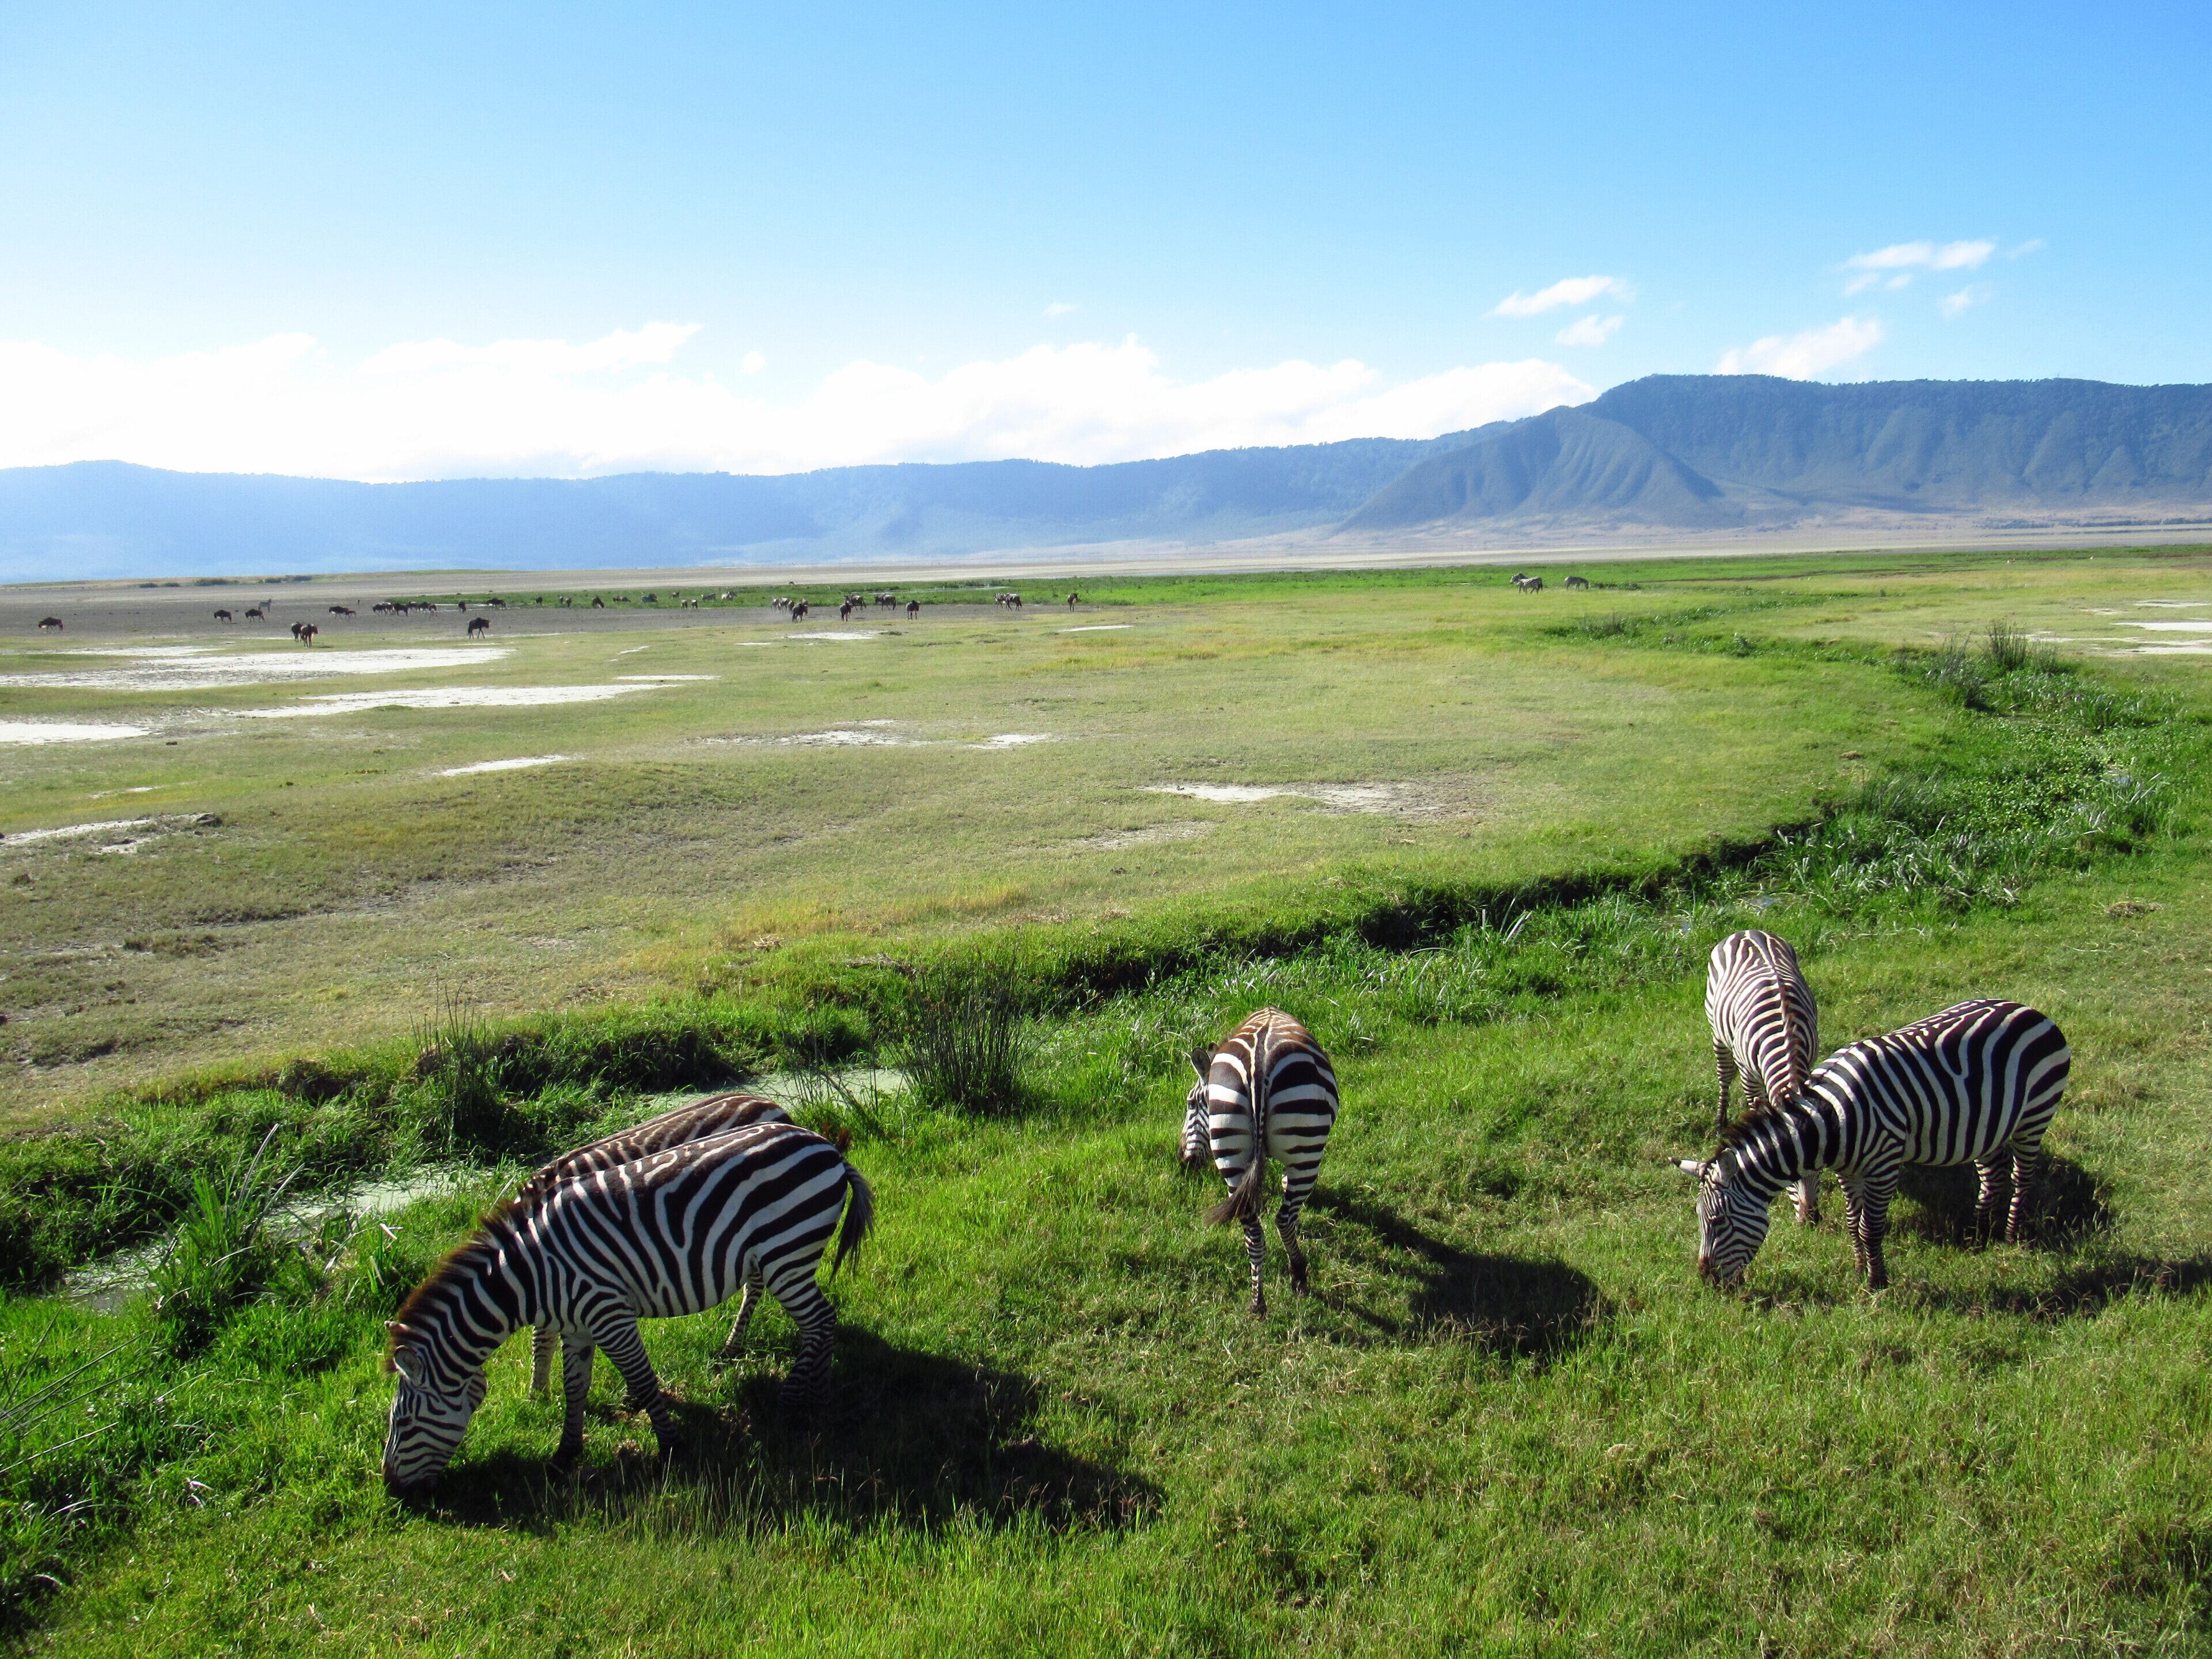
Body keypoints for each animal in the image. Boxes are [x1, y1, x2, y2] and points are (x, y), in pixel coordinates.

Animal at [1181, 1008, 1340, 1316]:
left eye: (1191, 1103)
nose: (1185, 1160)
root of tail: (1258, 1067)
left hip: (1230, 1151)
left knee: (1253, 1231)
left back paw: (1258, 1301)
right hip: (1307, 1150)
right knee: (1285, 1219)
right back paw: (1299, 1275)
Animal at [1677, 999, 2069, 1290]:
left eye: (1718, 1221)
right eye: (1699, 1219)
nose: (1707, 1281)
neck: (1830, 1121)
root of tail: (2029, 1010)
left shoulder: (1883, 1165)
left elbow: (1871, 1227)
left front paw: (1877, 1282)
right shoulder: (1848, 1171)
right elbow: (1854, 1223)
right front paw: (1858, 1269)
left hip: (2034, 1116)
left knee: (2022, 1177)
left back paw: (2011, 1237)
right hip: (1987, 1124)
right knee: (1993, 1174)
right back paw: (1977, 1234)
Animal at [1706, 929, 1821, 1225]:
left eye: (1820, 1167)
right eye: (1788, 1174)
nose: (1810, 1221)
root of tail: (1748, 931)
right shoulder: (1749, 1075)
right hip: (1718, 1034)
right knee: (1724, 1077)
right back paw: (1719, 1123)